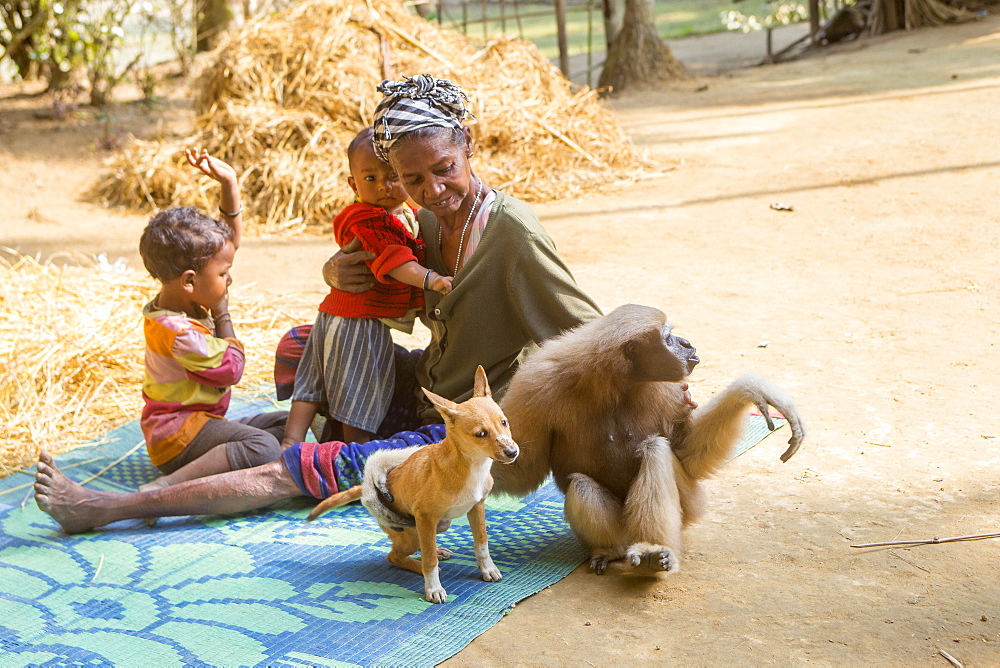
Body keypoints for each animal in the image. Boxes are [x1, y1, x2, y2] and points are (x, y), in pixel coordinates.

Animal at [308, 368, 520, 604]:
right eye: (481, 434)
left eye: (504, 422)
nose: (512, 452)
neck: (472, 467)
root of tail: (365, 489)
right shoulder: (425, 516)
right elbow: (429, 561)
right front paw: (433, 588)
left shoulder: (477, 507)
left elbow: (482, 543)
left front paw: (488, 569)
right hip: (412, 531)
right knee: (396, 555)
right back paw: (419, 565)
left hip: (438, 525)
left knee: (420, 547)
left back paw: (439, 551)